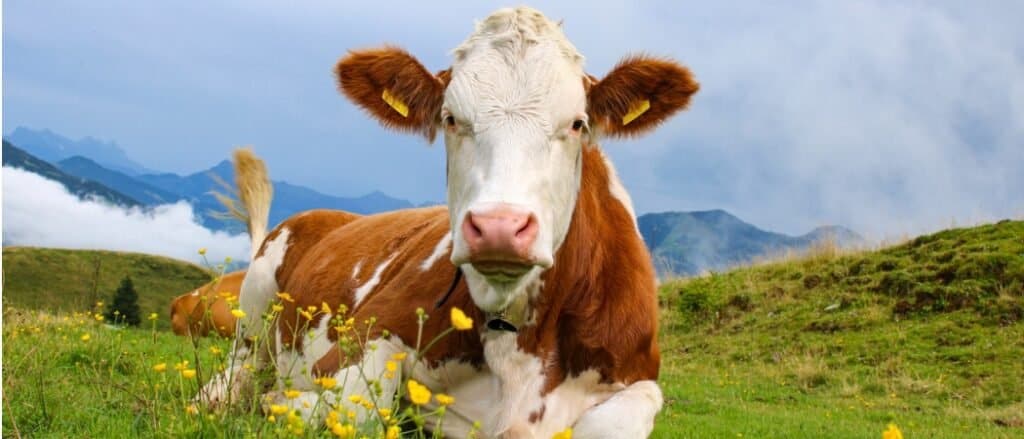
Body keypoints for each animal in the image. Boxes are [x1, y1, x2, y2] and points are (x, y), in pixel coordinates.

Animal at [199, 5, 696, 433]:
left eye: (577, 124)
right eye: (451, 119)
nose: (499, 227)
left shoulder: (639, 376)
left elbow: (611, 422)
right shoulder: (366, 333)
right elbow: (353, 408)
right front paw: (279, 402)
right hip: (256, 302)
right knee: (237, 368)